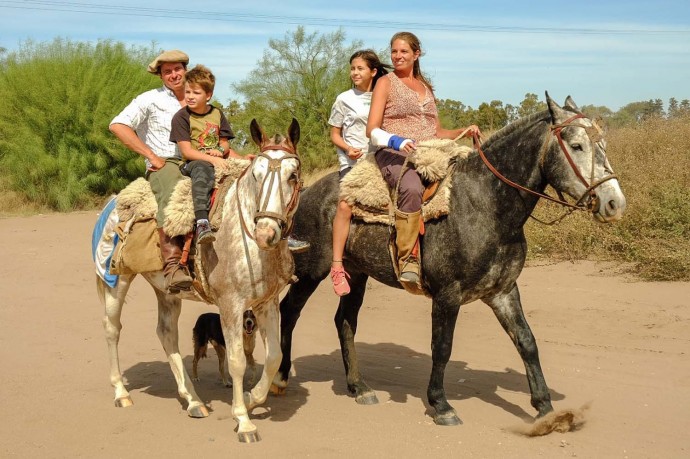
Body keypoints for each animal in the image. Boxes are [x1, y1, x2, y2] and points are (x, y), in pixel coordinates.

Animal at [272, 94, 624, 428]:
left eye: (603, 145)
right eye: (576, 145)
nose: (614, 202)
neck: (486, 204)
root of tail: (307, 193)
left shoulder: (503, 291)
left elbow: (526, 342)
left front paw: (545, 409)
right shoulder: (447, 295)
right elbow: (442, 347)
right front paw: (441, 405)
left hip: (356, 274)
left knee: (344, 321)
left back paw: (359, 387)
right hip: (311, 271)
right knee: (289, 312)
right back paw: (280, 378)